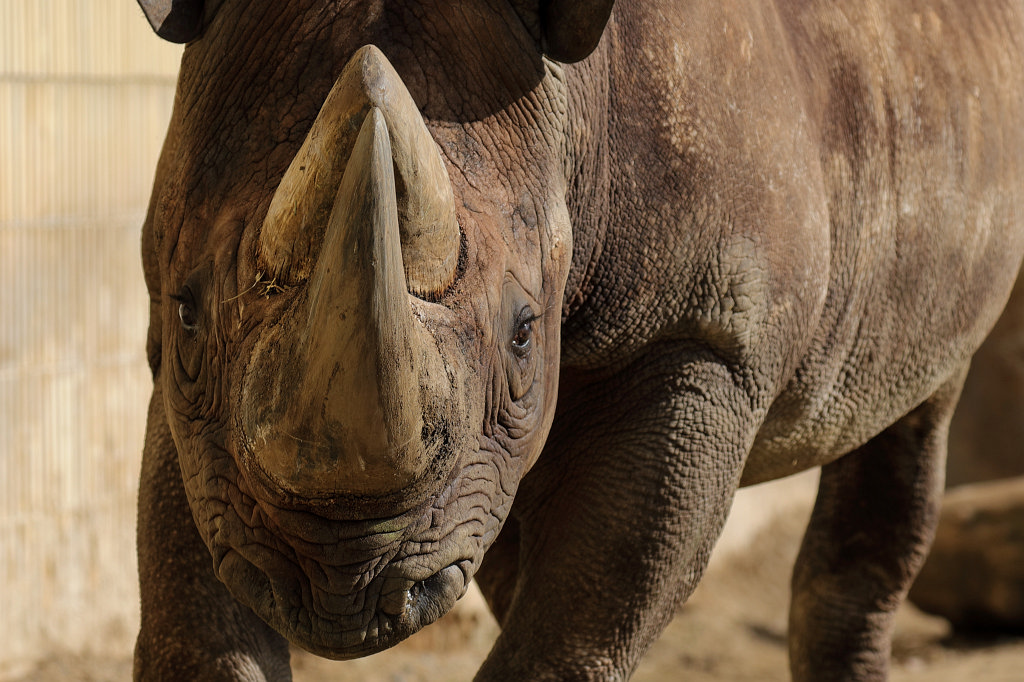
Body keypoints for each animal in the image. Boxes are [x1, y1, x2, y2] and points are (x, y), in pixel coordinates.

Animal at [132, 0, 1024, 679]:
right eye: (185, 315)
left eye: (525, 334)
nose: (337, 587)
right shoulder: (195, 407)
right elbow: (195, 618)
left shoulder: (702, 339)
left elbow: (578, 628)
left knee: (916, 406)